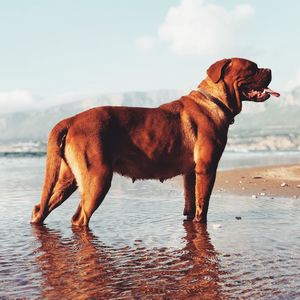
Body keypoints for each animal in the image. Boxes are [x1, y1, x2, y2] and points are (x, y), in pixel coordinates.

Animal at [30, 57, 278, 226]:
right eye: (252, 68)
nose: (269, 69)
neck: (215, 100)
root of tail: (70, 120)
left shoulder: (191, 172)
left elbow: (190, 202)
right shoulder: (207, 169)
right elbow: (203, 204)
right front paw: (201, 223)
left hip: (67, 179)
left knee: (40, 208)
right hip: (97, 178)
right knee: (79, 218)